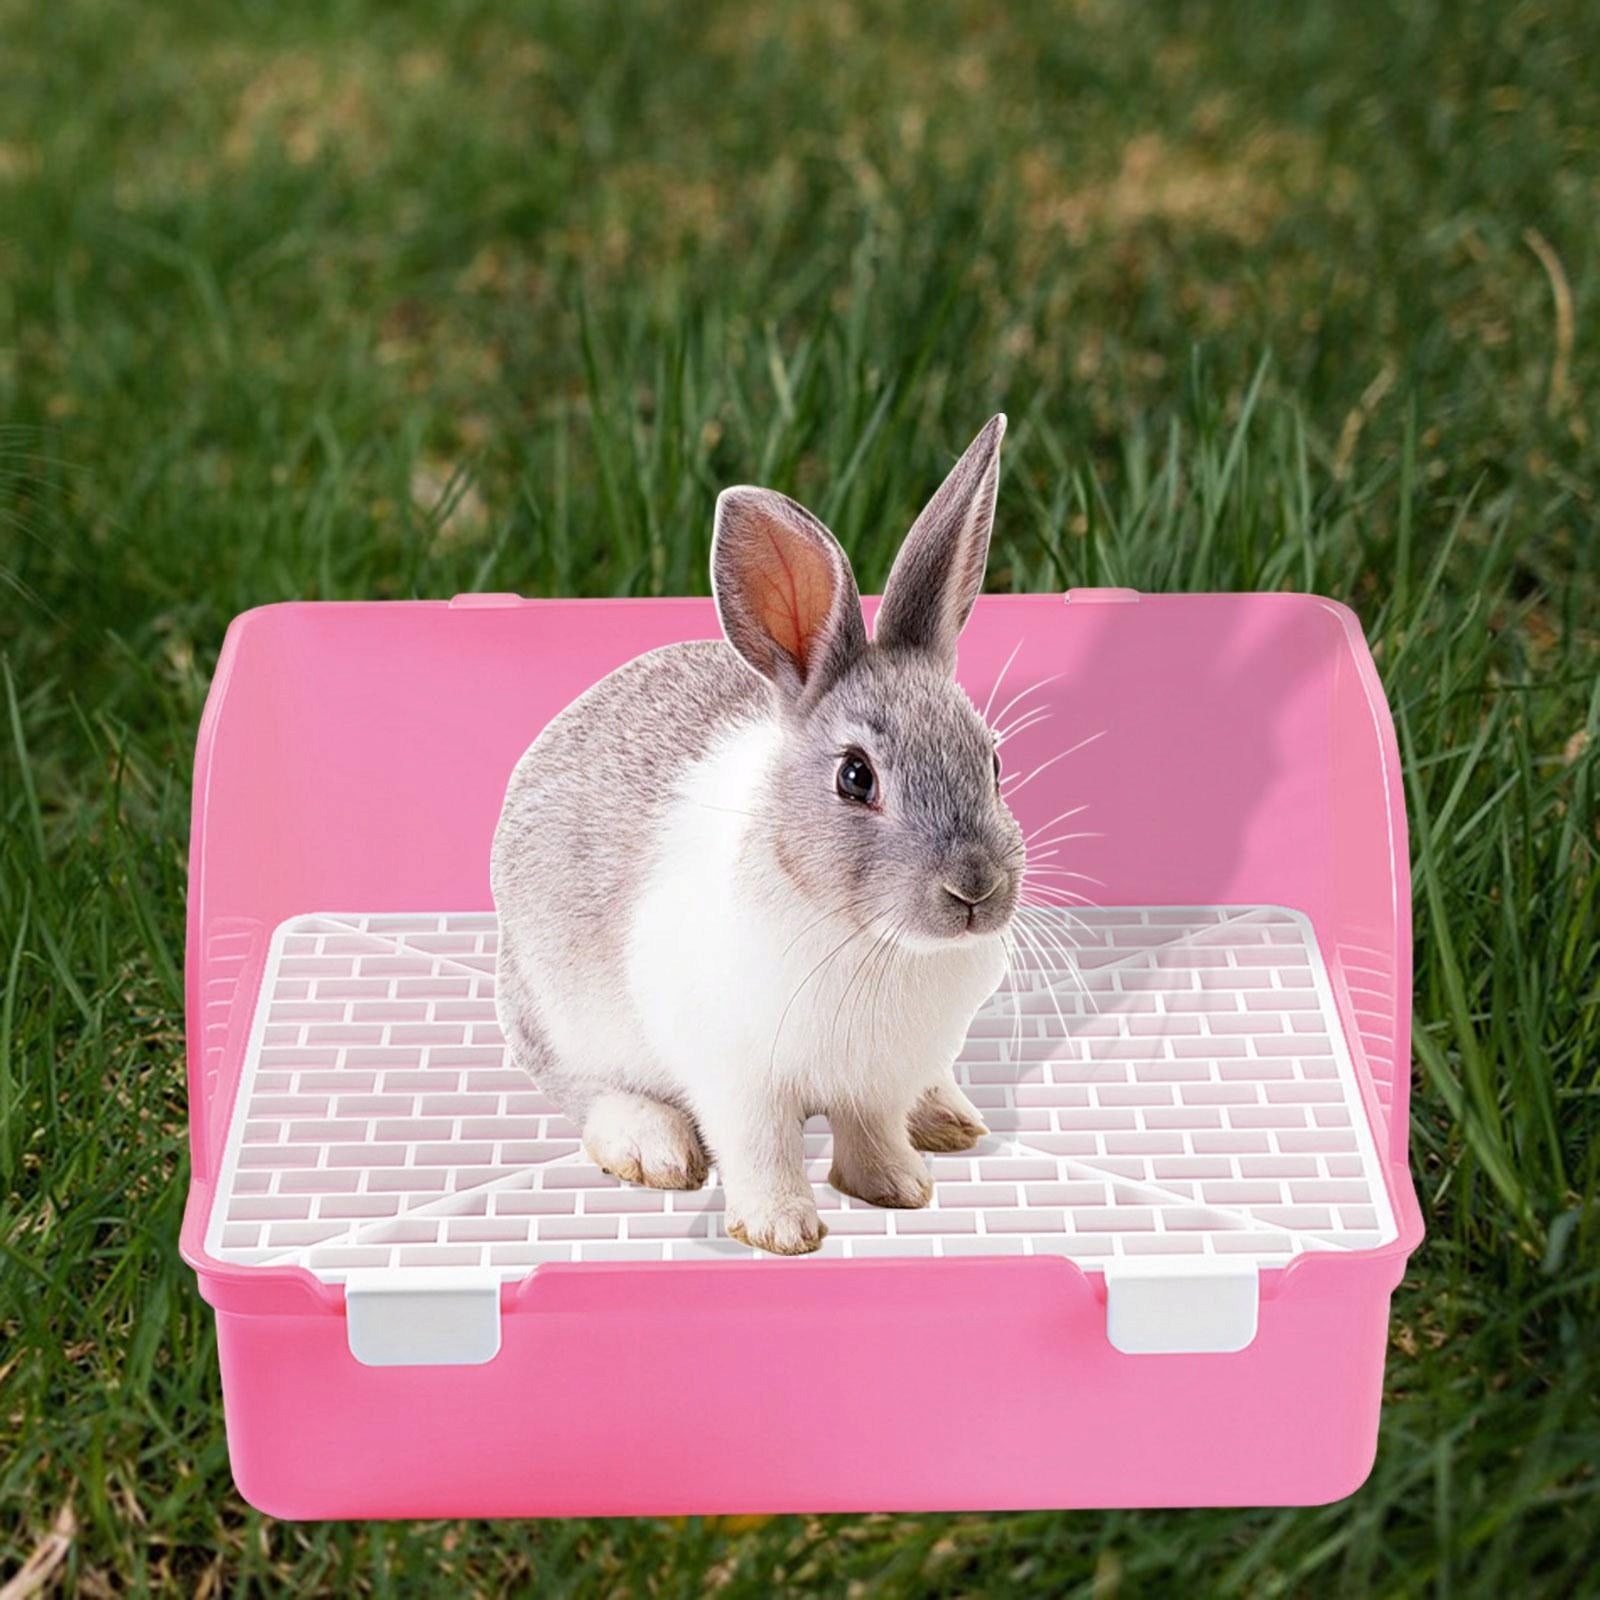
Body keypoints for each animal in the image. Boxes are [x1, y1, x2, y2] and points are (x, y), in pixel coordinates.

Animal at [490, 415, 1024, 1254]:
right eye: (855, 777)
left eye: (994, 762)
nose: (975, 889)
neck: (871, 941)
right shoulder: (738, 1078)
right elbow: (761, 1147)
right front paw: (782, 1232)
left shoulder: (877, 1080)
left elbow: (871, 1131)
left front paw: (898, 1188)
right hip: (556, 1015)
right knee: (586, 1090)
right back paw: (653, 1147)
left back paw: (946, 1118)